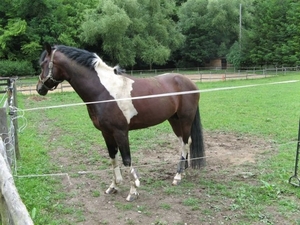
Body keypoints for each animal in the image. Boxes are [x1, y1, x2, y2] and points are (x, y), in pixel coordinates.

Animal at [34, 43, 204, 201]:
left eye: (44, 64)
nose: (39, 88)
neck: (103, 92)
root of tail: (189, 82)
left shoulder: (121, 132)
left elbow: (126, 159)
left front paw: (133, 191)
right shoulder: (106, 133)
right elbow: (113, 157)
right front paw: (114, 186)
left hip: (185, 120)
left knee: (185, 142)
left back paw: (178, 176)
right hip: (174, 120)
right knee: (183, 142)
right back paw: (182, 170)